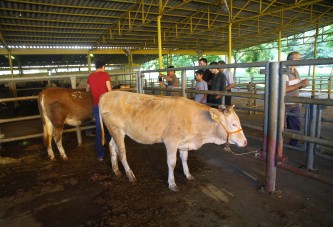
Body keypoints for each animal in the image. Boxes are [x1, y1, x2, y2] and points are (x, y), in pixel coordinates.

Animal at [98, 90, 246, 192]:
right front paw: (172, 183)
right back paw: (130, 175)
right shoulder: (171, 141)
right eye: (233, 124)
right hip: (117, 129)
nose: (245, 142)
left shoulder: (184, 143)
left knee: (112, 146)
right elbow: (172, 163)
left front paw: (188, 175)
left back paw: (116, 170)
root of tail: (107, 95)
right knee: (122, 152)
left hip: (114, 130)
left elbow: (184, 158)